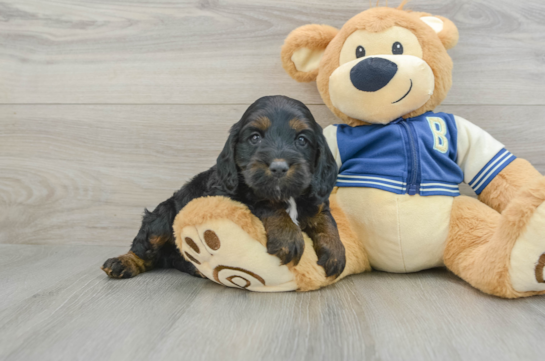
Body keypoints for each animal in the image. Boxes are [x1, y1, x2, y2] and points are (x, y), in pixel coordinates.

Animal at [101, 95, 344, 278]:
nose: (278, 168)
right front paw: (288, 235)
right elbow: (264, 203)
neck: (288, 196)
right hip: (161, 218)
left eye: (302, 140)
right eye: (255, 137)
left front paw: (335, 250)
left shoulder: (314, 199)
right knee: (145, 247)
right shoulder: (227, 194)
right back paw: (123, 262)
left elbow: (326, 220)